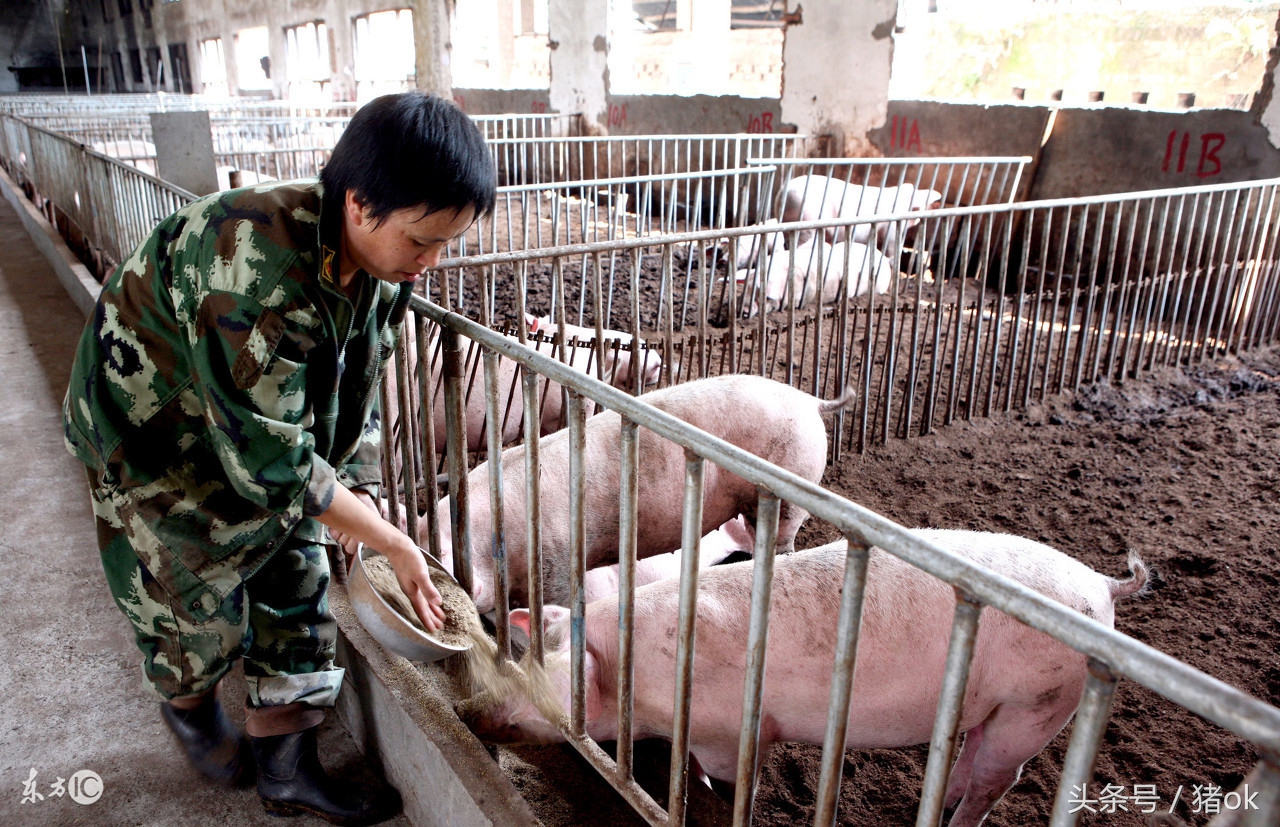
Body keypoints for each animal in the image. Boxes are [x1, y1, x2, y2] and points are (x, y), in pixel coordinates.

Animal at [458, 532, 1152, 827]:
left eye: (547, 680)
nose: (469, 711)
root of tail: (1101, 584)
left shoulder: (731, 729)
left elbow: (727, 776)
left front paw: (708, 793)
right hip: (1002, 705)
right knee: (973, 755)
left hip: (1039, 703)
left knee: (997, 780)